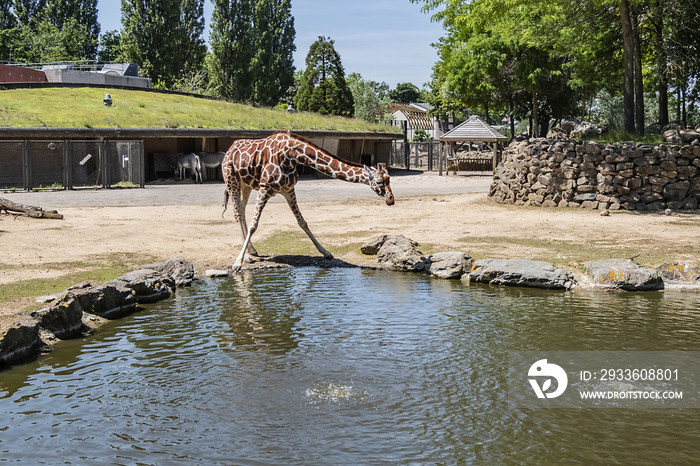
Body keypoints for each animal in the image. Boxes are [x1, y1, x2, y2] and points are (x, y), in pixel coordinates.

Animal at [221, 131, 394, 272]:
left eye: (389, 179)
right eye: (379, 181)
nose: (391, 199)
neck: (292, 156)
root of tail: (228, 150)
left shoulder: (289, 190)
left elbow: (302, 222)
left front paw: (326, 252)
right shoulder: (265, 188)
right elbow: (253, 225)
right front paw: (237, 263)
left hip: (246, 184)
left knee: (241, 210)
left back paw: (252, 251)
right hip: (231, 180)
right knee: (237, 212)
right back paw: (247, 256)